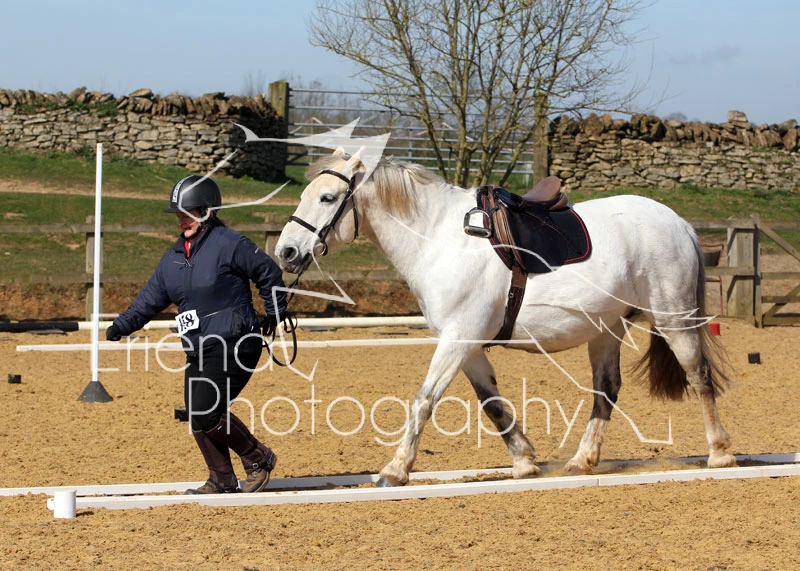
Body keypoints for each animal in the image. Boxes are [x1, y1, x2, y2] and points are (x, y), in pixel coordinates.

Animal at [274, 148, 735, 487]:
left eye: (327, 198)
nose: (286, 252)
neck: (438, 238)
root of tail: (679, 223)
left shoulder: (458, 337)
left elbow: (424, 400)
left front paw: (395, 469)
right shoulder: (467, 344)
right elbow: (492, 403)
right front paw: (525, 461)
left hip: (675, 320)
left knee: (698, 376)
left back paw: (720, 453)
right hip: (607, 329)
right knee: (606, 390)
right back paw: (582, 460)